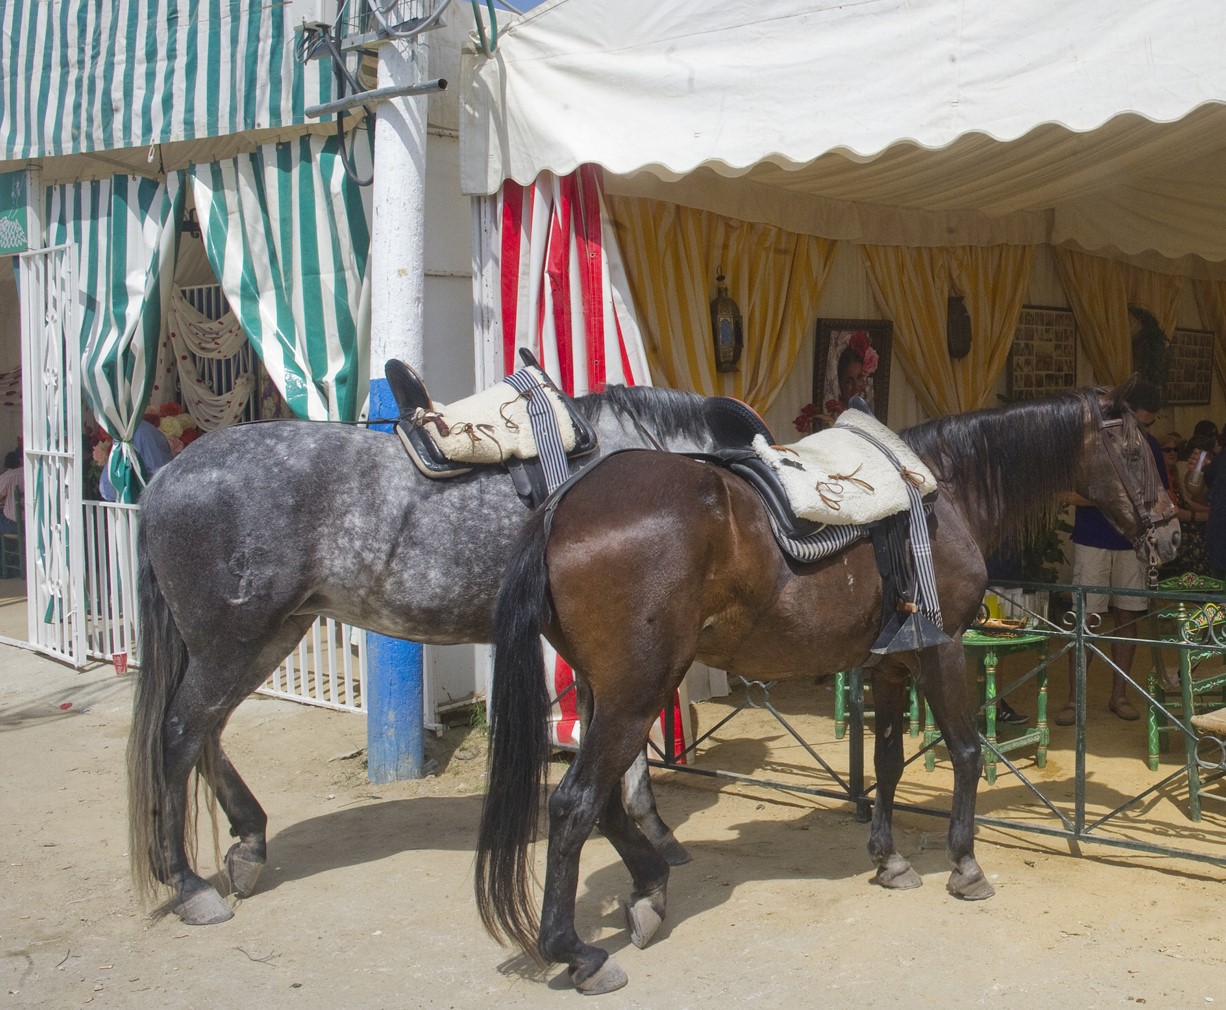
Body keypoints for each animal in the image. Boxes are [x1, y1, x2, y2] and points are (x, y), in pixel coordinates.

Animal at [128, 381, 729, 926]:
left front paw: (650, 833)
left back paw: (248, 844)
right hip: (232, 643)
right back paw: (188, 885)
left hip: (266, 638)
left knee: (206, 734)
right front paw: (653, 836)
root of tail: (161, 482)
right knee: (178, 735)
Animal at [475, 383, 1180, 994]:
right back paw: (578, 952)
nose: (1173, 533)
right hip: (637, 692)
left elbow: (890, 762)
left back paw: (648, 891)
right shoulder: (944, 649)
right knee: (575, 802)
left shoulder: (893, 664)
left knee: (604, 801)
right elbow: (965, 752)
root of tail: (564, 506)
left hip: (606, 691)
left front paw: (888, 860)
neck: (943, 492)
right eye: (1135, 453)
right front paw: (965, 864)